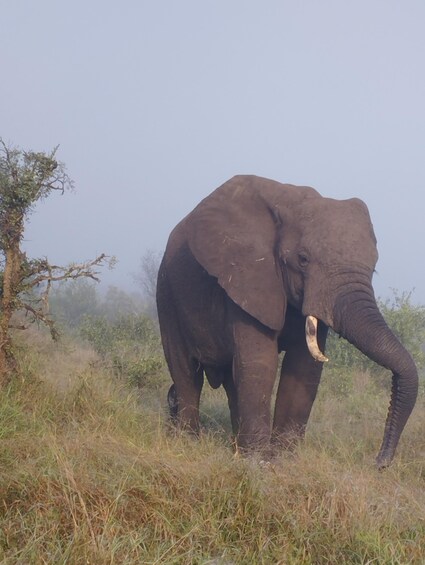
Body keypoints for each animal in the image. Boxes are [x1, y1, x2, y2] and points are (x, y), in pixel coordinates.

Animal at [157, 174, 418, 464]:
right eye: (302, 259)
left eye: (374, 267)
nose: (379, 461)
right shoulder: (248, 278)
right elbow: (261, 362)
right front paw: (259, 462)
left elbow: (303, 366)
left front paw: (285, 458)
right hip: (167, 292)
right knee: (185, 370)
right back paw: (187, 441)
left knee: (231, 379)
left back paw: (234, 445)